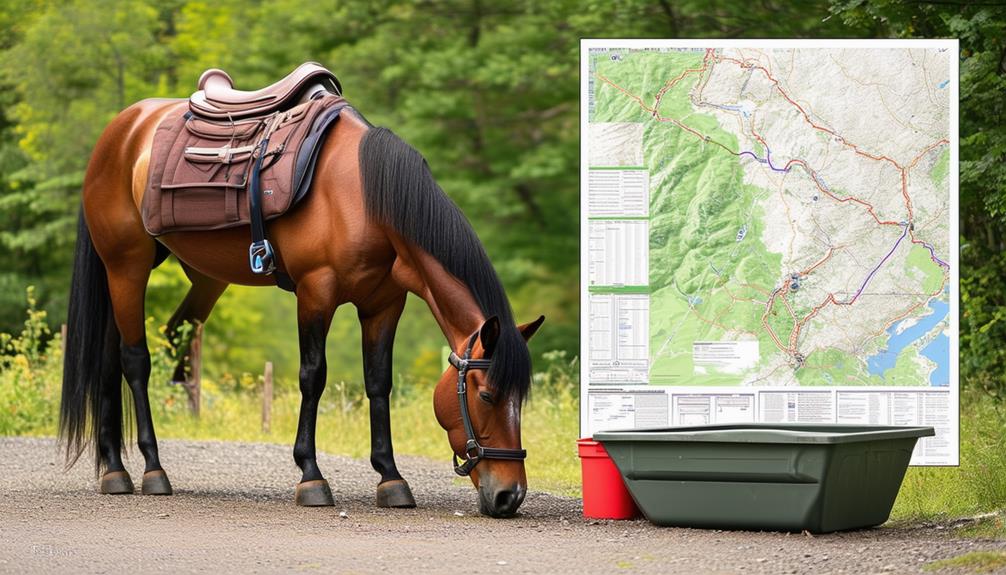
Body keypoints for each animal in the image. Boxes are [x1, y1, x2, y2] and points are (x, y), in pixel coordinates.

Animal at [58, 95, 547, 514]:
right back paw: (152, 469)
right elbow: (313, 377)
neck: (364, 198)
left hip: (190, 278)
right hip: (127, 266)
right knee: (134, 361)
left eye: (520, 400)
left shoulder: (384, 305)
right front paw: (311, 476)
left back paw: (114, 471)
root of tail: (121, 130)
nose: (510, 496)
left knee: (112, 358)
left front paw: (390, 477)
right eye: (486, 395)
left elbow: (378, 383)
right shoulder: (316, 293)